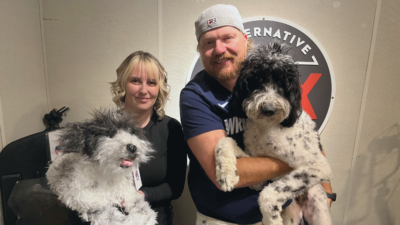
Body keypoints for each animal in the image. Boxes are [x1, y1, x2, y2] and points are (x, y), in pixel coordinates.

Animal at [216, 42, 334, 225]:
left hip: (318, 210)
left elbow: (268, 194)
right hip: (291, 214)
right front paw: (226, 174)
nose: (269, 109)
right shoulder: (257, 178)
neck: (266, 127)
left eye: (282, 83)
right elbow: (226, 141)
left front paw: (270, 218)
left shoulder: (318, 165)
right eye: (257, 80)